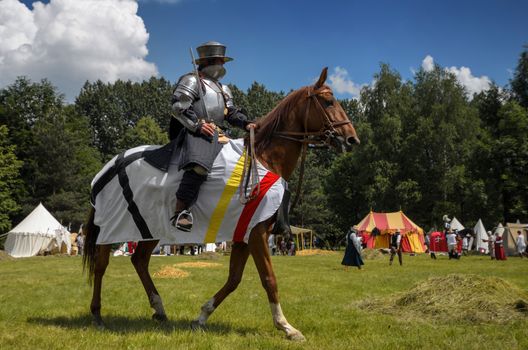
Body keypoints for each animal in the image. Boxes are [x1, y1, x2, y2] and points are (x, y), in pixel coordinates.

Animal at [82, 67, 360, 340]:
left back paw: (159, 310)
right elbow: (268, 278)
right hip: (112, 229)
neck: (264, 157)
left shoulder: (244, 232)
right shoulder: (257, 232)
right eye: (328, 101)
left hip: (150, 229)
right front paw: (286, 326)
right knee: (102, 264)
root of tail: (108, 167)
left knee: (139, 261)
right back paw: (97, 315)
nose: (351, 140)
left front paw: (202, 316)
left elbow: (234, 278)